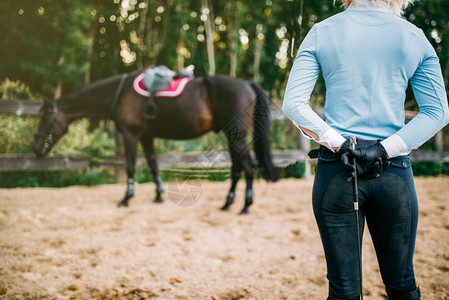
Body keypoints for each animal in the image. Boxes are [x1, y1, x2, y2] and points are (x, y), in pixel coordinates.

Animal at [33, 69, 276, 213]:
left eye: (46, 118)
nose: (35, 147)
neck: (119, 94)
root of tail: (247, 84)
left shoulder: (130, 135)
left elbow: (131, 166)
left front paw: (126, 199)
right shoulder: (146, 136)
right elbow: (152, 163)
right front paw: (158, 195)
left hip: (237, 137)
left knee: (247, 166)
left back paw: (245, 205)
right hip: (231, 136)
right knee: (236, 167)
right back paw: (227, 203)